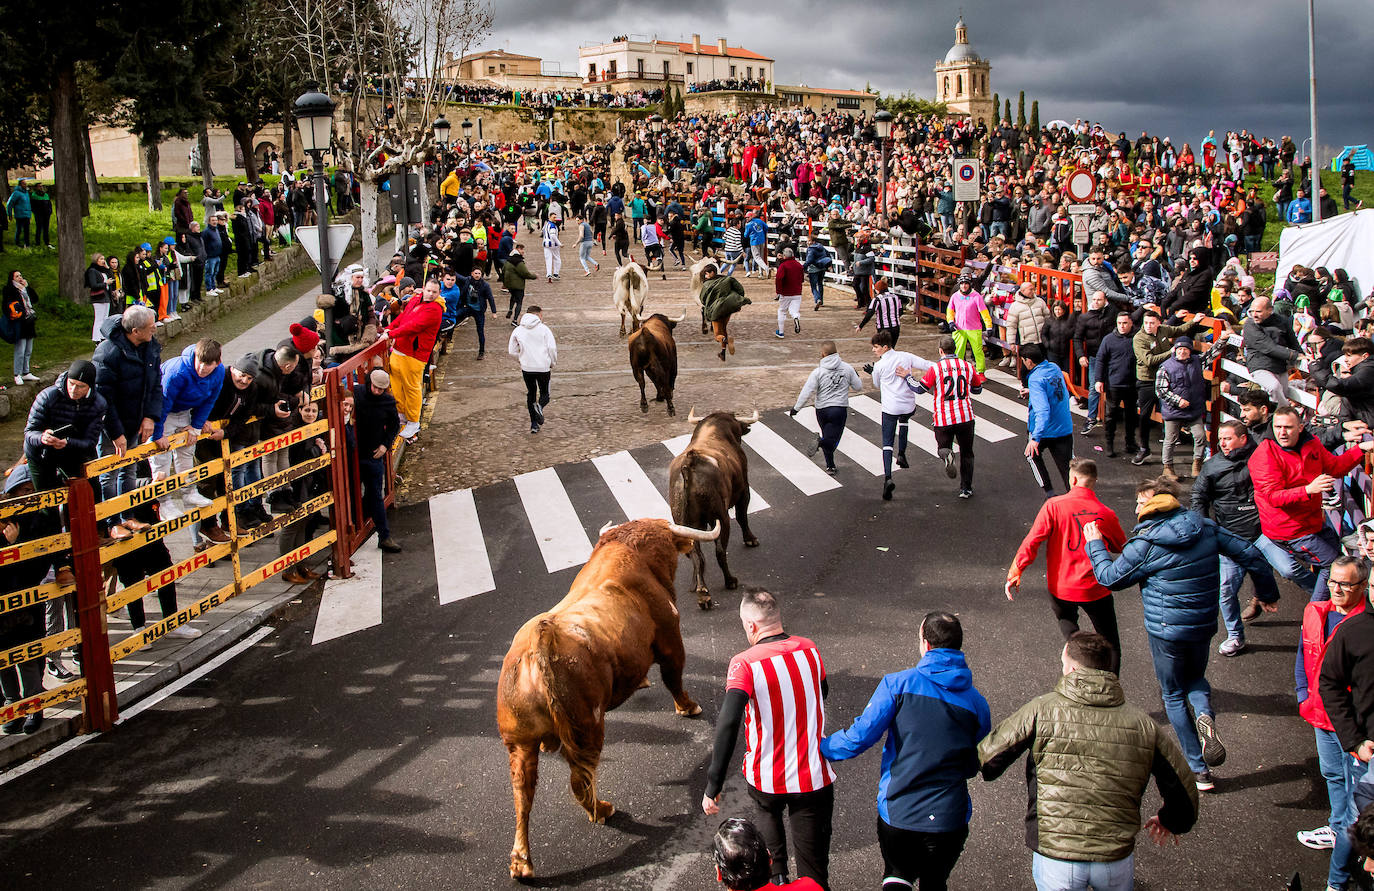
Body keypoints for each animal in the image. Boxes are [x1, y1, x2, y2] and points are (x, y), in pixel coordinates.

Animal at [494, 514, 714, 874]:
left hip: (520, 742)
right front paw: (688, 707)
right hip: (588, 727)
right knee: (579, 780)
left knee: (521, 791)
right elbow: (674, 678)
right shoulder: (671, 639)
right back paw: (604, 811)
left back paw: (522, 863)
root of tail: (541, 640)